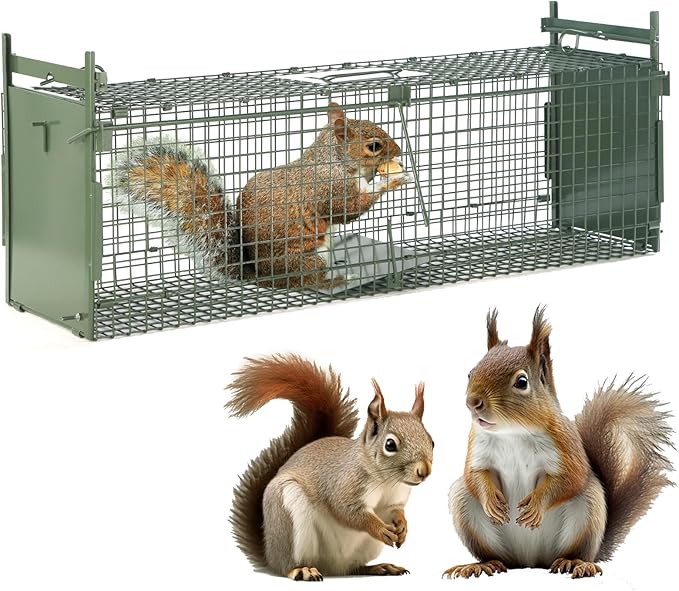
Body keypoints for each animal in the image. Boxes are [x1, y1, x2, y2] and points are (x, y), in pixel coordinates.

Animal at [112, 102, 411, 290]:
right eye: (374, 146)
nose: (398, 150)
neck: (333, 161)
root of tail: (259, 277)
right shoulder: (329, 189)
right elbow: (348, 209)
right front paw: (391, 180)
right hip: (307, 260)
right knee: (306, 283)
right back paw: (336, 281)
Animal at [226, 354, 433, 581]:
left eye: (432, 441)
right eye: (390, 445)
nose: (424, 471)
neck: (386, 481)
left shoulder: (393, 501)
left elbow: (394, 511)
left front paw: (403, 526)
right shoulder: (344, 485)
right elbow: (348, 512)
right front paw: (380, 529)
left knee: (353, 568)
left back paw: (379, 567)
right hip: (288, 517)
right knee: (287, 564)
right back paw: (302, 570)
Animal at [443, 307, 674, 580]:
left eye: (522, 382)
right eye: (470, 372)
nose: (473, 402)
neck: (512, 432)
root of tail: (530, 561)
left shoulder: (565, 445)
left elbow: (571, 478)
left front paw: (536, 506)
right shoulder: (477, 445)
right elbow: (474, 474)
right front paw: (491, 501)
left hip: (589, 510)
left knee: (576, 548)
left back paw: (576, 563)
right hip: (466, 507)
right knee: (496, 555)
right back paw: (480, 565)